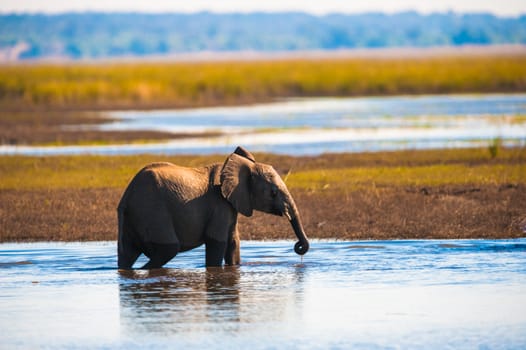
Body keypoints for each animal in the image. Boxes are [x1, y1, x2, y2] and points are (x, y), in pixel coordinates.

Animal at [117, 146, 312, 270]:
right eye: (273, 193)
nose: (298, 247)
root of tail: (127, 195)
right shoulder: (219, 204)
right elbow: (217, 241)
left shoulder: (230, 205)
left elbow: (233, 243)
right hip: (152, 210)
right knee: (168, 249)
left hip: (134, 216)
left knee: (127, 254)